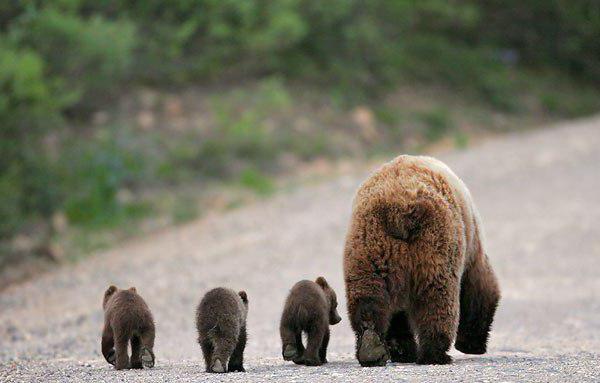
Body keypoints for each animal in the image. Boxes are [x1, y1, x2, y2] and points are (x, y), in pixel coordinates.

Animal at [342, 155, 502, 366]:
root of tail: (398, 209)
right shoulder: (471, 245)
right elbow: (480, 287)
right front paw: (472, 343)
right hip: (435, 243)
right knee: (436, 298)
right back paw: (435, 353)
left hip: (369, 247)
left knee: (369, 296)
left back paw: (372, 348)